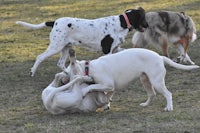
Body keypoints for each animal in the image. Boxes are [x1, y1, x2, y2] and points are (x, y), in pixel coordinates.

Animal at [65, 47, 199, 111]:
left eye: (68, 75)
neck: (89, 67)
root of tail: (160, 57)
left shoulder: (108, 84)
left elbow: (93, 86)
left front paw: (84, 91)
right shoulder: (111, 88)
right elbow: (107, 96)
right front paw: (106, 105)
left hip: (156, 82)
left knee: (168, 94)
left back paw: (169, 107)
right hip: (145, 80)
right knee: (152, 94)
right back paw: (145, 104)